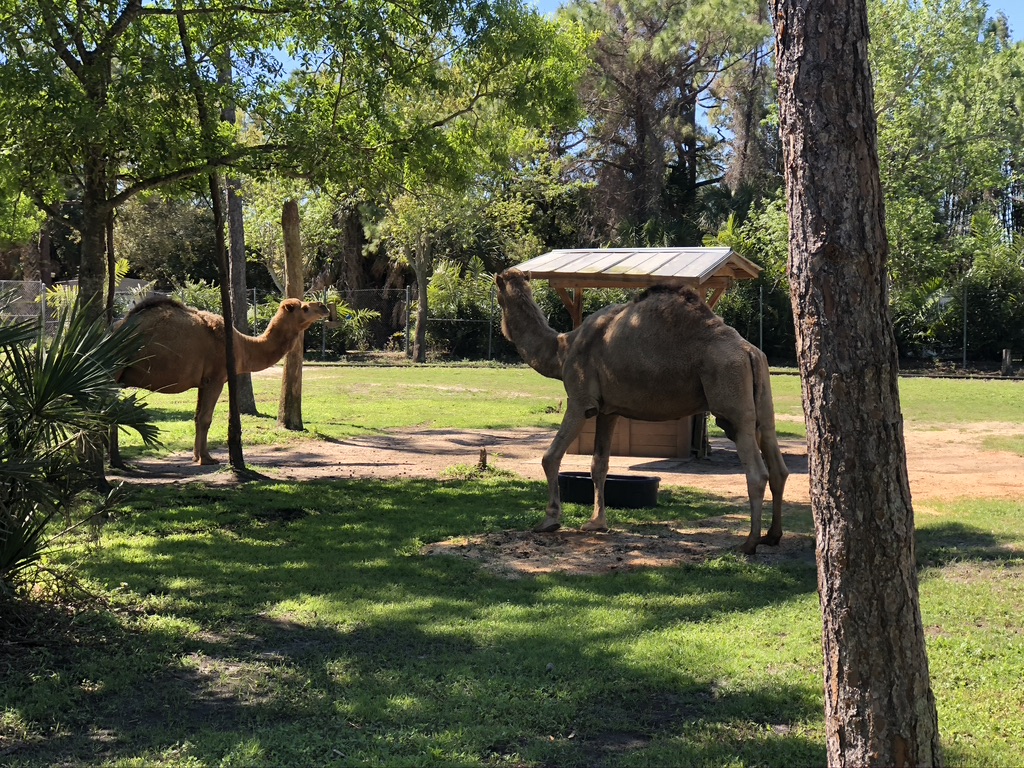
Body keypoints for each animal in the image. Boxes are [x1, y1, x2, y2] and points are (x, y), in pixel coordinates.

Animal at [115, 294, 327, 462]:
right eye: (305, 308)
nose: (323, 306)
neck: (241, 346)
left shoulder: (203, 382)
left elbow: (197, 416)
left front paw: (196, 456)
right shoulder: (215, 378)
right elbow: (205, 418)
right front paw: (206, 458)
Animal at [491, 268, 786, 552]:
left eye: (498, 296)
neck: (563, 349)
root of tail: (749, 352)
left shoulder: (580, 401)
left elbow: (550, 457)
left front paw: (549, 521)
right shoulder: (608, 410)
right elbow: (599, 464)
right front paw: (597, 523)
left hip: (731, 398)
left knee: (756, 472)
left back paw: (749, 543)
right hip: (762, 402)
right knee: (777, 465)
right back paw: (772, 536)